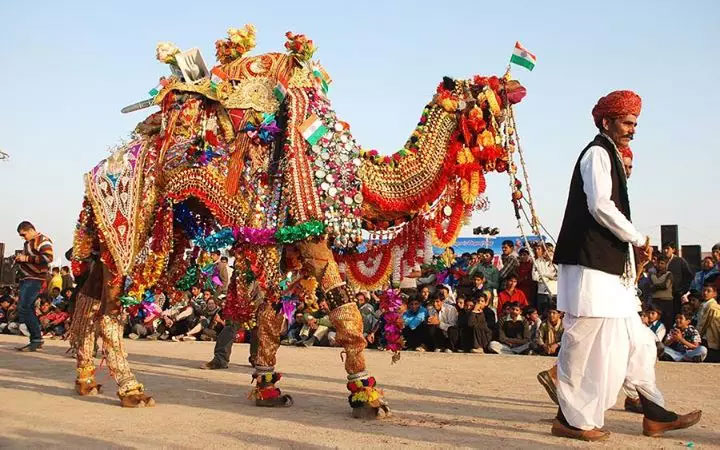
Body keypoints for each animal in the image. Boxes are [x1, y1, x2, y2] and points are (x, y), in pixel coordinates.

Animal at [69, 26, 524, 414]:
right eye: (481, 89)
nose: (515, 85)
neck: (356, 175)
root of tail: (96, 174)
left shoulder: (288, 241)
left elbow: (272, 313)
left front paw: (269, 389)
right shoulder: (311, 232)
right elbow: (344, 307)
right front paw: (369, 398)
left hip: (111, 238)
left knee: (89, 299)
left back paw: (87, 381)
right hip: (132, 223)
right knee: (110, 309)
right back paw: (131, 390)